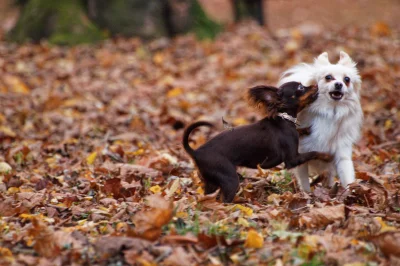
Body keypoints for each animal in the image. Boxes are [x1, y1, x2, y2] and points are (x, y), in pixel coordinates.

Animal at [278, 51, 362, 191]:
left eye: (347, 80)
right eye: (328, 77)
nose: (339, 84)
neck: (331, 112)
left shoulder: (341, 154)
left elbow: (347, 177)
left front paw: (350, 193)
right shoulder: (301, 156)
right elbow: (304, 183)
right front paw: (306, 195)